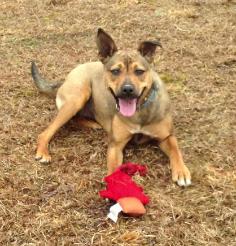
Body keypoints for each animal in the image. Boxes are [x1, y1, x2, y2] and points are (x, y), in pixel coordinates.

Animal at [31, 28, 191, 186]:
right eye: (115, 71)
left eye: (139, 71)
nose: (127, 89)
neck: (139, 111)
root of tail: (65, 79)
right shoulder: (116, 145)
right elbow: (114, 169)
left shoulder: (166, 137)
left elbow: (175, 149)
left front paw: (181, 171)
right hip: (78, 97)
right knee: (46, 132)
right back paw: (43, 151)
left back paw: (92, 123)